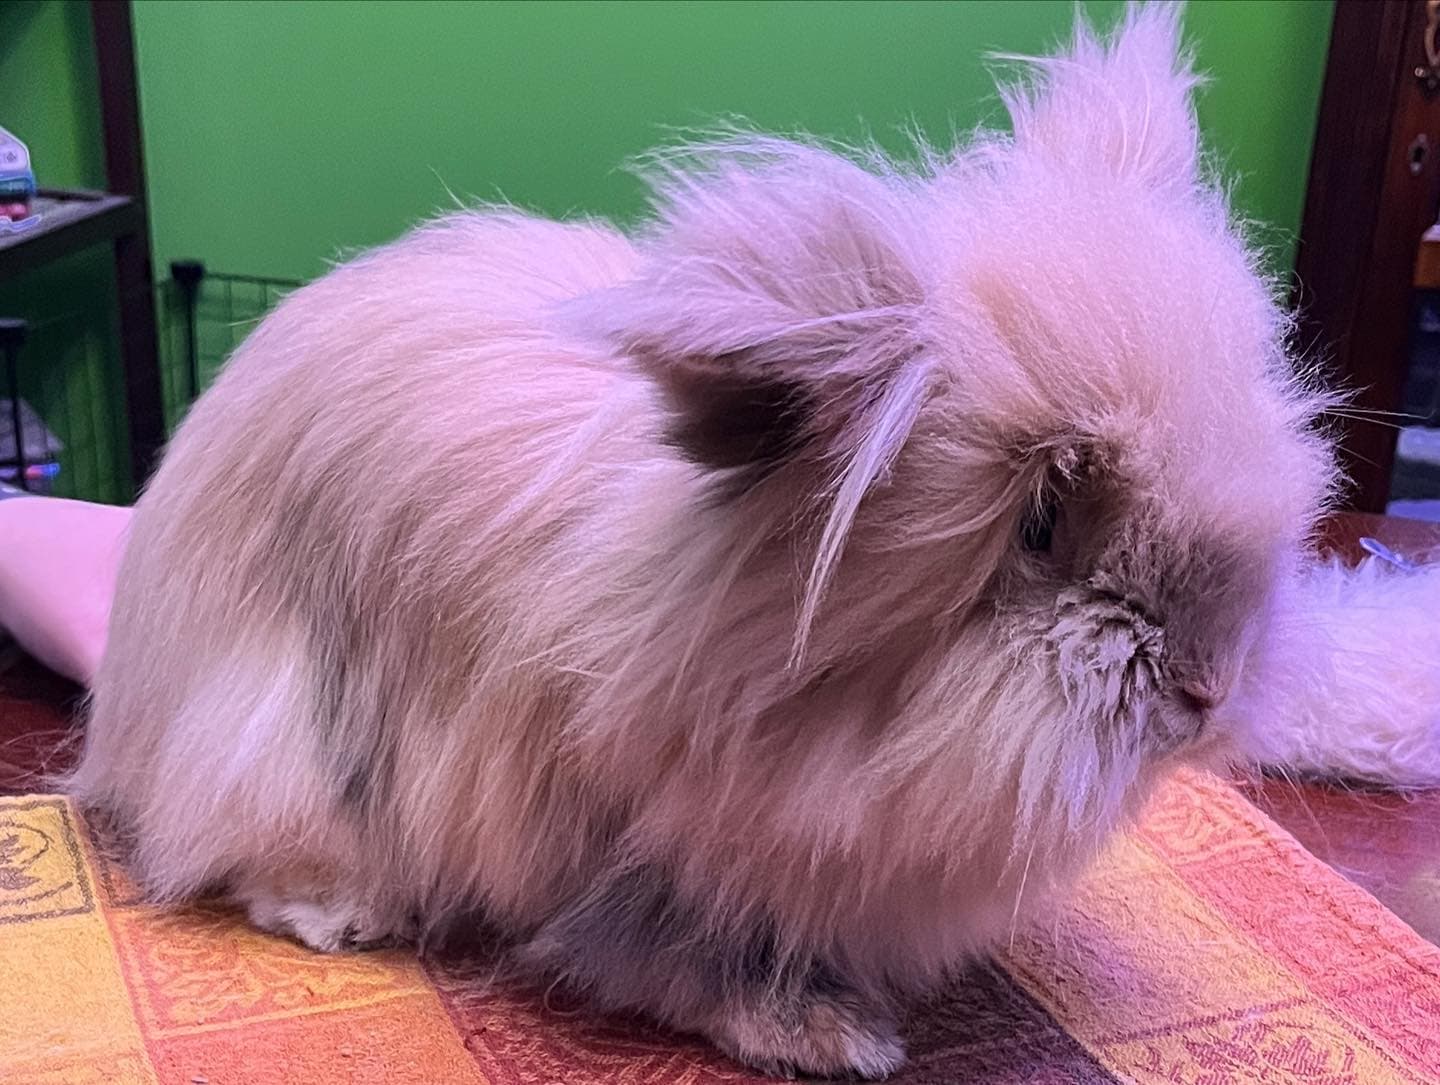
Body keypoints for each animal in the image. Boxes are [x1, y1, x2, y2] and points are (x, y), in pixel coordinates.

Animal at [71, 4, 1362, 1078]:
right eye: (1041, 522)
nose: (1209, 688)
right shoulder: (625, 840)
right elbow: (672, 950)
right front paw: (826, 1034)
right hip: (271, 735)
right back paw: (343, 912)